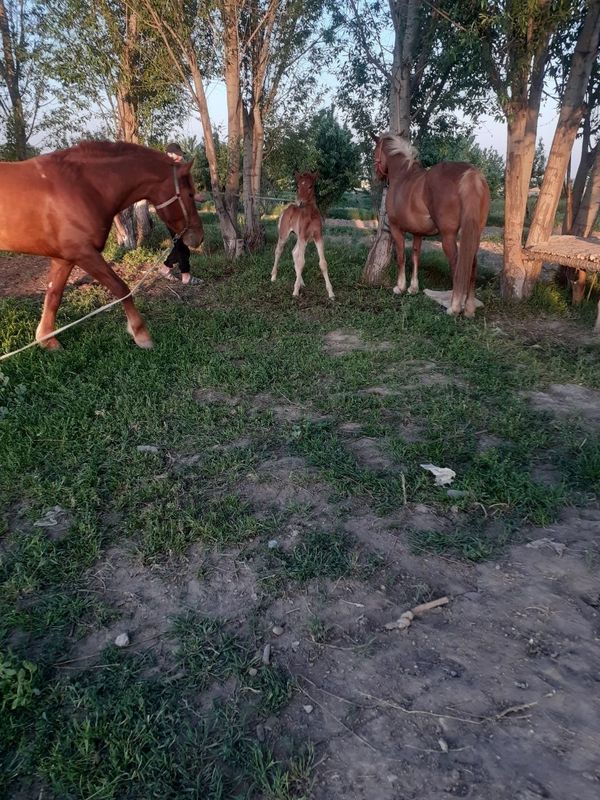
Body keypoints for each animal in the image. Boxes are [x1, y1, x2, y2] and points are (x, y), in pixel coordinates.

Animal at [0, 140, 204, 350]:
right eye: (190, 194)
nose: (199, 237)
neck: (81, 187)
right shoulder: (84, 254)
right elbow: (121, 288)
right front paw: (141, 335)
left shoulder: (64, 258)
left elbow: (53, 296)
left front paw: (47, 339)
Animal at [270, 171, 336, 300]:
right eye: (298, 186)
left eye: (310, 186)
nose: (300, 202)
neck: (310, 215)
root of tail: (288, 207)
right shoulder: (303, 237)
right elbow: (301, 262)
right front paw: (295, 291)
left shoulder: (318, 237)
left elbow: (323, 263)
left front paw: (331, 293)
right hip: (285, 235)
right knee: (279, 251)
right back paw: (274, 276)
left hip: (300, 239)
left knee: (294, 252)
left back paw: (301, 282)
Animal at [372, 133, 490, 318]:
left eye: (375, 152)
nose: (377, 177)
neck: (403, 176)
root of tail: (471, 173)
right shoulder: (418, 233)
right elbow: (415, 256)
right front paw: (413, 288)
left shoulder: (396, 229)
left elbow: (401, 257)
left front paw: (400, 287)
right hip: (475, 234)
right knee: (472, 264)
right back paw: (469, 309)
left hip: (448, 237)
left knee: (457, 265)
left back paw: (454, 307)